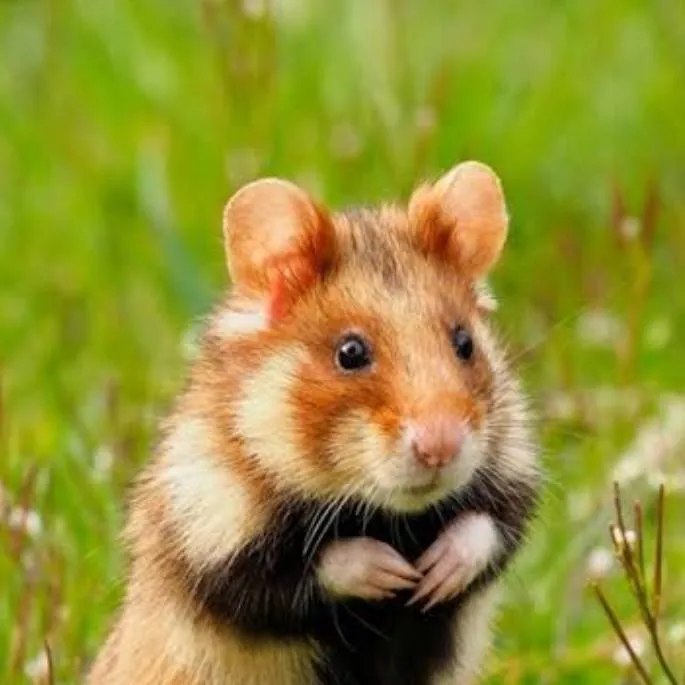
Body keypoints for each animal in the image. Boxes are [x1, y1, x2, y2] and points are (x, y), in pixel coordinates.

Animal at [88, 161, 540, 685]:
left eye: (464, 342)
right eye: (350, 352)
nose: (440, 448)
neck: (389, 516)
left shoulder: (513, 473)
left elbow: (489, 527)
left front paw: (432, 575)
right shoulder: (205, 531)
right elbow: (303, 570)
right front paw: (392, 572)